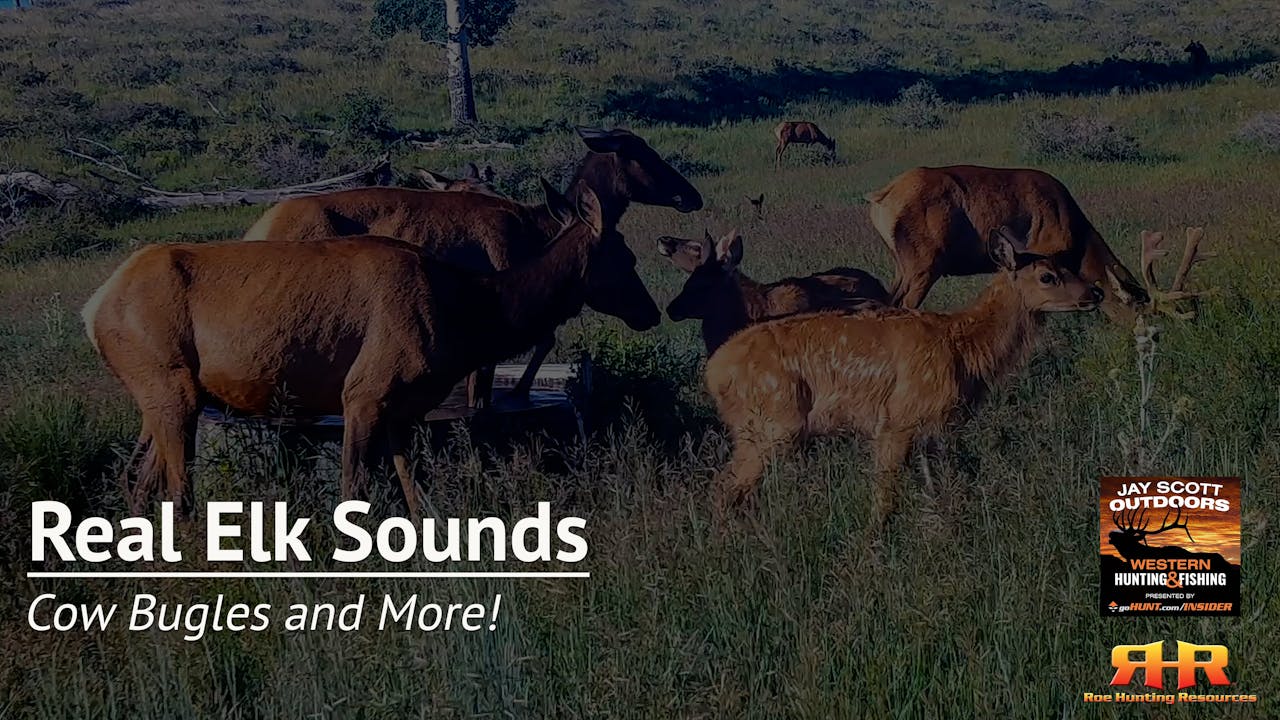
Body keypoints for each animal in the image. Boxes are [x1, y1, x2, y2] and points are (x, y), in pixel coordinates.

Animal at [82, 187, 659, 520]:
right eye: (626, 256)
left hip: (169, 398)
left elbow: (414, 495)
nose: (652, 312)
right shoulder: (363, 393)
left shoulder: (404, 409)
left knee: (137, 486)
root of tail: (92, 307)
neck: (470, 313)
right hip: (169, 385)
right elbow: (352, 495)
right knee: (177, 498)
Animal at [704, 228, 1103, 526]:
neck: (963, 348)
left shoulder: (930, 430)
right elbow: (885, 498)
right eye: (1048, 276)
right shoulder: (897, 418)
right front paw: (874, 553)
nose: (1095, 292)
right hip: (772, 422)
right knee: (724, 489)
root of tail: (715, 371)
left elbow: (934, 490)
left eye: (1066, 265)